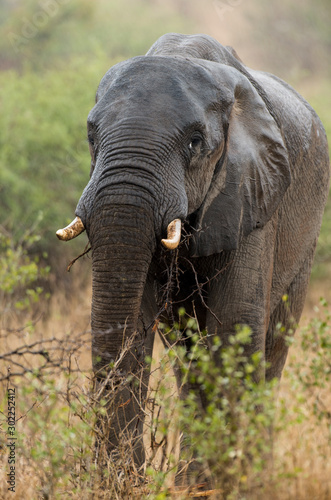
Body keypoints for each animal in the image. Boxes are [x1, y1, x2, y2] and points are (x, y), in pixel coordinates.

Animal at [56, 33, 330, 482]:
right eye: (92, 138)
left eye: (194, 143)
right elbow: (132, 324)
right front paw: (126, 483)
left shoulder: (252, 192)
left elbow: (235, 326)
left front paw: (233, 482)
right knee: (188, 360)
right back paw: (190, 480)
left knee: (273, 344)